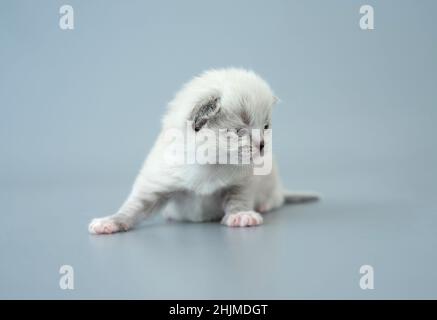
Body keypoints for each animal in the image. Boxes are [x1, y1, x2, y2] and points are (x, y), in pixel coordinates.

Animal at [88, 67, 318, 234]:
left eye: (266, 127)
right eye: (239, 131)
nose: (262, 145)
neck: (211, 163)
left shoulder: (242, 182)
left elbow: (239, 199)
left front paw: (241, 215)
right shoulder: (156, 183)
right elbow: (132, 207)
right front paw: (108, 222)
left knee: (276, 198)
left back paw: (264, 205)